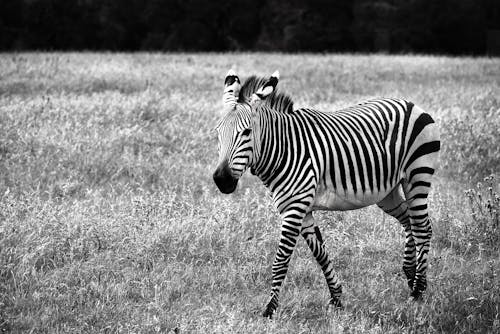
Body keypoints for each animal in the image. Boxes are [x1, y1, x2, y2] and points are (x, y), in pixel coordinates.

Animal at [213, 69, 440, 318]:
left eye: (246, 132)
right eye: (217, 133)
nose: (222, 180)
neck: (283, 149)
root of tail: (411, 104)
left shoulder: (294, 208)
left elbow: (281, 261)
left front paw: (269, 309)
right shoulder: (302, 209)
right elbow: (320, 253)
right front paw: (337, 297)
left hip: (417, 175)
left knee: (422, 228)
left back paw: (418, 290)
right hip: (387, 192)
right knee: (409, 221)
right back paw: (410, 274)